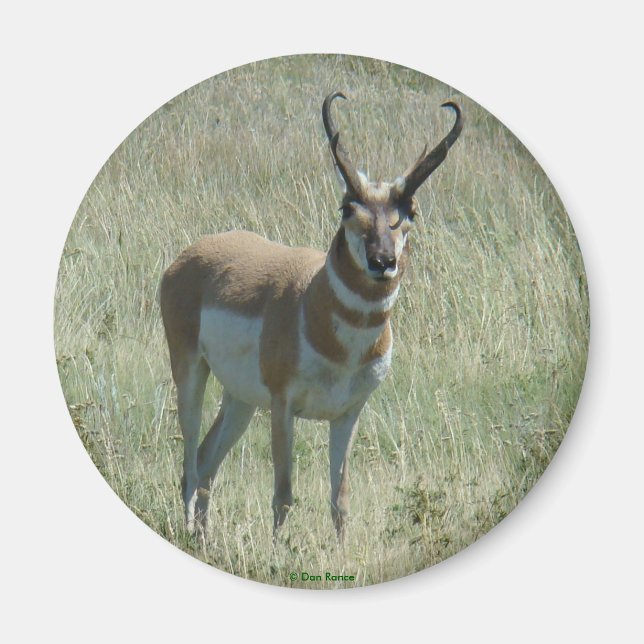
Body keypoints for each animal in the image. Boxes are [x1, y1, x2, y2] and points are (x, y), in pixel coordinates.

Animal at [160, 92, 462, 540]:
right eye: (347, 208)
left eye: (409, 210)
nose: (382, 262)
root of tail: (190, 254)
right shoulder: (283, 406)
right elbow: (284, 494)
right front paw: (278, 552)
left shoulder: (348, 414)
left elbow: (340, 501)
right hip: (191, 373)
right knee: (190, 463)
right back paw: (186, 530)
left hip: (241, 399)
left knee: (207, 460)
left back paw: (203, 537)